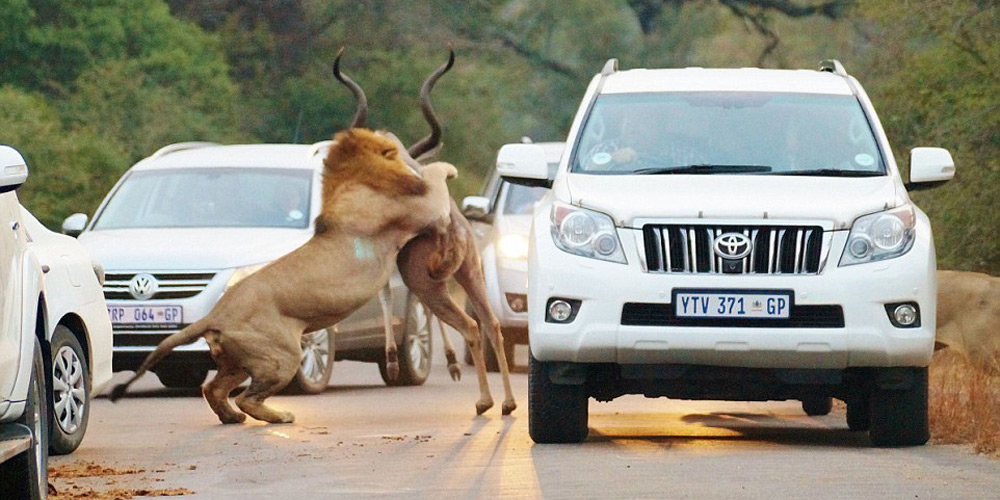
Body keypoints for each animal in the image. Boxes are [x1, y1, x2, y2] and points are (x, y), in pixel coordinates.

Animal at [106, 51, 458, 426]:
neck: (351, 181)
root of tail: (214, 316)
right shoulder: (425, 210)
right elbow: (436, 177)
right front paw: (446, 168)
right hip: (283, 354)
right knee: (246, 396)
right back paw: (280, 415)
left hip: (237, 361)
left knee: (214, 389)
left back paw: (233, 418)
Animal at [348, 50, 516, 414]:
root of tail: (453, 228)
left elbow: (385, 294)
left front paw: (393, 361)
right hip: (469, 274)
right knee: (492, 323)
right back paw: (508, 404)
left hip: (428, 283)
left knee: (470, 325)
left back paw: (483, 401)